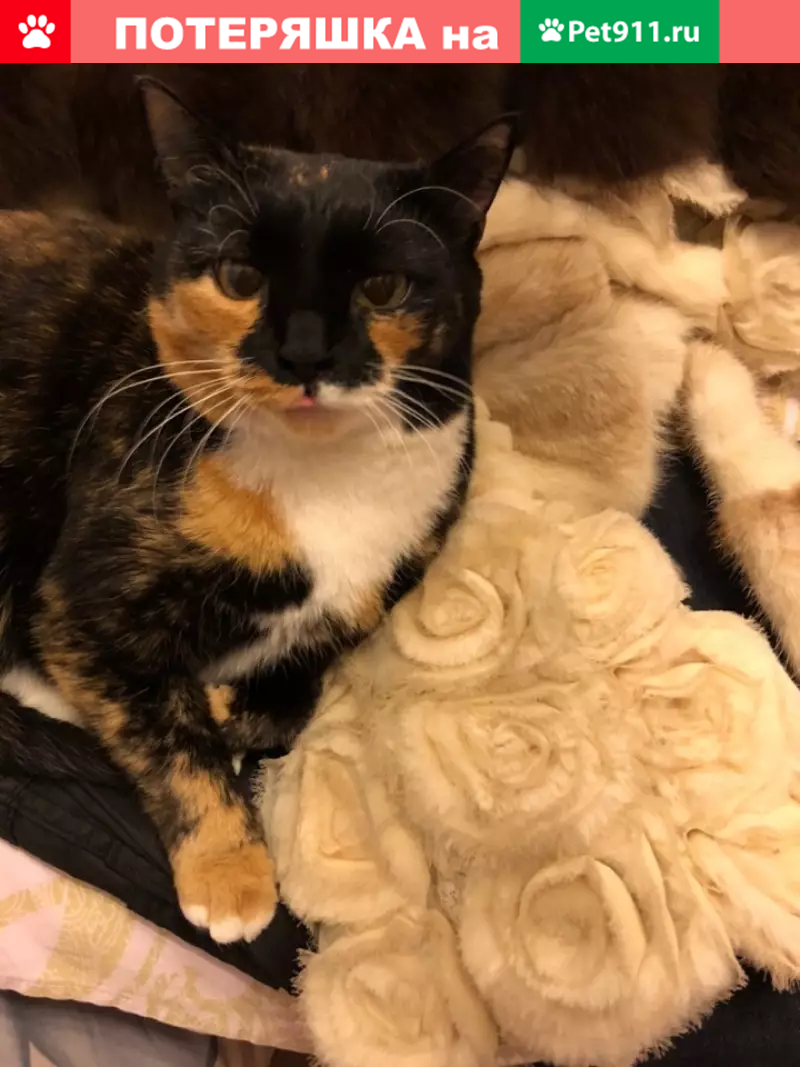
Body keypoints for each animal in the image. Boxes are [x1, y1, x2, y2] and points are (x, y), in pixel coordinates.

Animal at [0, 79, 514, 944]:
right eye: (240, 275)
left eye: (381, 287)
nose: (304, 352)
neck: (322, 482)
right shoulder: (77, 605)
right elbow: (172, 734)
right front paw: (230, 874)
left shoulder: (361, 607)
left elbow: (290, 705)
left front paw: (224, 705)